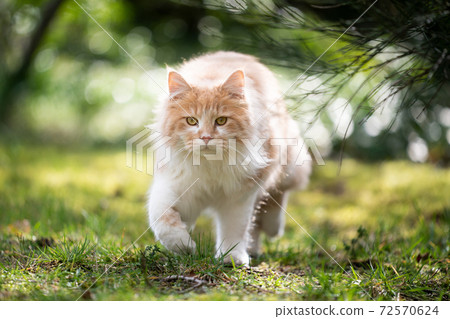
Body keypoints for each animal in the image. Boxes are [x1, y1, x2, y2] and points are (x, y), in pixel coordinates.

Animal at [146, 51, 312, 266]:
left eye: (221, 121)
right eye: (191, 121)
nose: (206, 137)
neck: (211, 168)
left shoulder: (240, 196)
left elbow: (234, 229)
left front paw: (231, 257)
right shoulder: (173, 187)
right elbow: (163, 222)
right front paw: (185, 246)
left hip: (287, 162)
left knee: (277, 196)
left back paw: (272, 228)